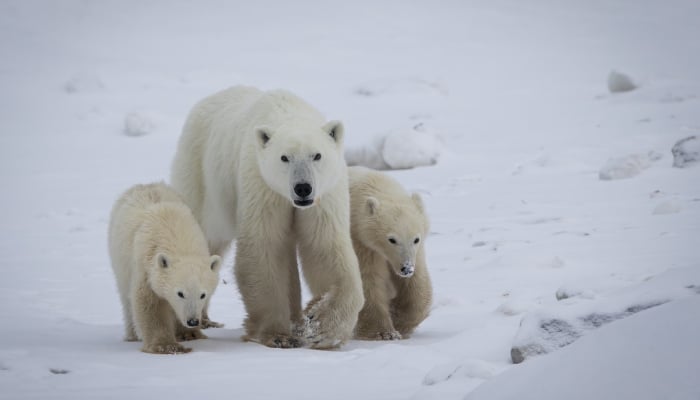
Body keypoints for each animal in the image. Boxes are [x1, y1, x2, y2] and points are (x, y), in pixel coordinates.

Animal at [108, 182, 222, 354]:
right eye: (180, 293)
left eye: (203, 295)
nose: (193, 321)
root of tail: (146, 185)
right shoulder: (147, 266)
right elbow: (150, 303)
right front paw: (166, 346)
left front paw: (190, 334)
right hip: (120, 260)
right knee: (126, 298)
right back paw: (132, 335)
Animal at [170, 86, 364, 349]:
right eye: (284, 157)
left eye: (317, 155)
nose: (303, 188)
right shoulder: (263, 185)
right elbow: (264, 248)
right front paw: (278, 335)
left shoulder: (324, 195)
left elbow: (324, 247)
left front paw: (322, 327)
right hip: (201, 176)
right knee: (204, 238)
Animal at [348, 166, 433, 340]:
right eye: (392, 239)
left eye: (416, 239)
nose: (406, 268)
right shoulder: (362, 243)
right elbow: (369, 281)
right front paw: (384, 333)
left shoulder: (417, 253)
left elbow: (417, 283)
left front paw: (400, 320)